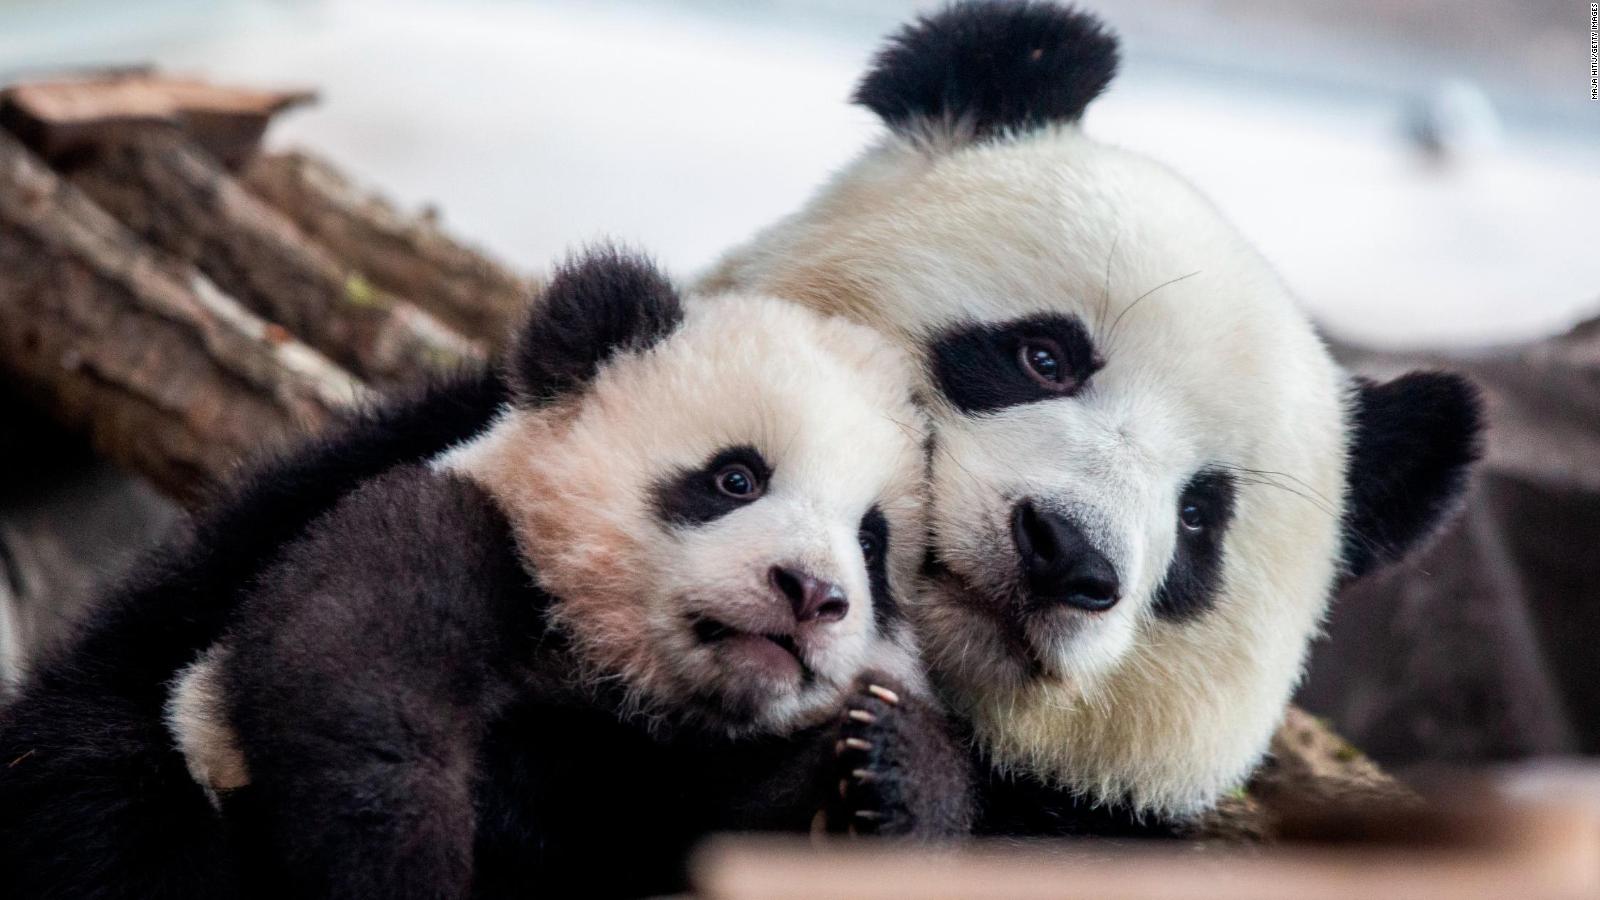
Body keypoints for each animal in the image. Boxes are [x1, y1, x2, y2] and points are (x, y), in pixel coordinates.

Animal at [0, 246, 960, 896]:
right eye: (736, 478)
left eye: (872, 544)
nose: (812, 594)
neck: (610, 674)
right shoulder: (453, 531)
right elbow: (354, 675)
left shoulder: (666, 780)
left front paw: (885, 772)